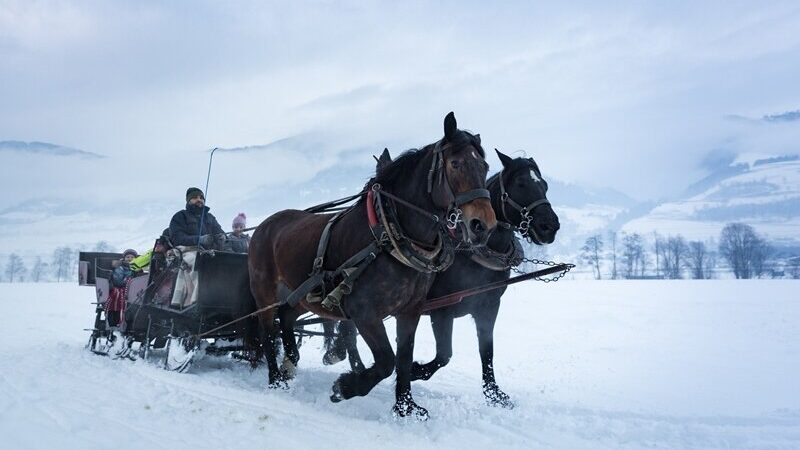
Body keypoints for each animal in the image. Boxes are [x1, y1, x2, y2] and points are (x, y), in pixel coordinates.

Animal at [247, 111, 496, 418]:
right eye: (456, 163)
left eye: (484, 165)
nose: (483, 225)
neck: (389, 236)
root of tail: (263, 226)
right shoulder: (364, 312)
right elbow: (387, 361)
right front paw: (345, 388)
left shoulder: (411, 310)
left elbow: (403, 357)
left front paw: (405, 406)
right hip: (264, 292)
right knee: (268, 333)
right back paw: (275, 378)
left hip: (300, 294)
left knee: (287, 316)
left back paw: (290, 362)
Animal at [410, 150, 560, 408]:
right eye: (521, 183)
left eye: (545, 185)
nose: (550, 226)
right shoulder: (442, 310)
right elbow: (444, 355)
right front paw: (413, 370)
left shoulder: (488, 306)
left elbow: (487, 350)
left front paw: (494, 393)